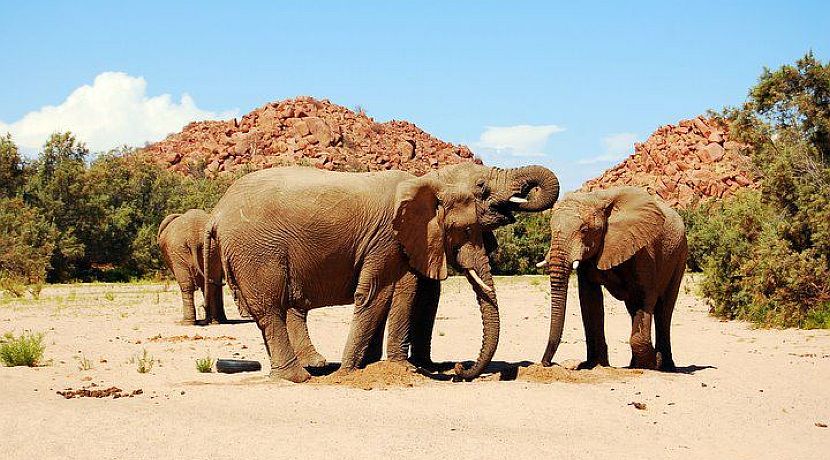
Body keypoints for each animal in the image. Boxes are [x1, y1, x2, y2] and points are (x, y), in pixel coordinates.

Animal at [203, 163, 560, 382]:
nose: (460, 368)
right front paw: (351, 373)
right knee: (272, 310)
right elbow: (381, 293)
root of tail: (217, 212)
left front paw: (373, 366)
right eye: (482, 188)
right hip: (257, 250)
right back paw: (299, 377)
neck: (428, 179)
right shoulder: (386, 238)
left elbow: (402, 292)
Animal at [535, 186, 687, 371]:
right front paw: (594, 365)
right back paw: (635, 365)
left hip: (680, 254)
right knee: (634, 307)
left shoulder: (644, 249)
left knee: (664, 309)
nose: (547, 363)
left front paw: (651, 364)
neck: (598, 199)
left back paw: (664, 366)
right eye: (550, 229)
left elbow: (646, 296)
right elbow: (590, 299)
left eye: (584, 230)